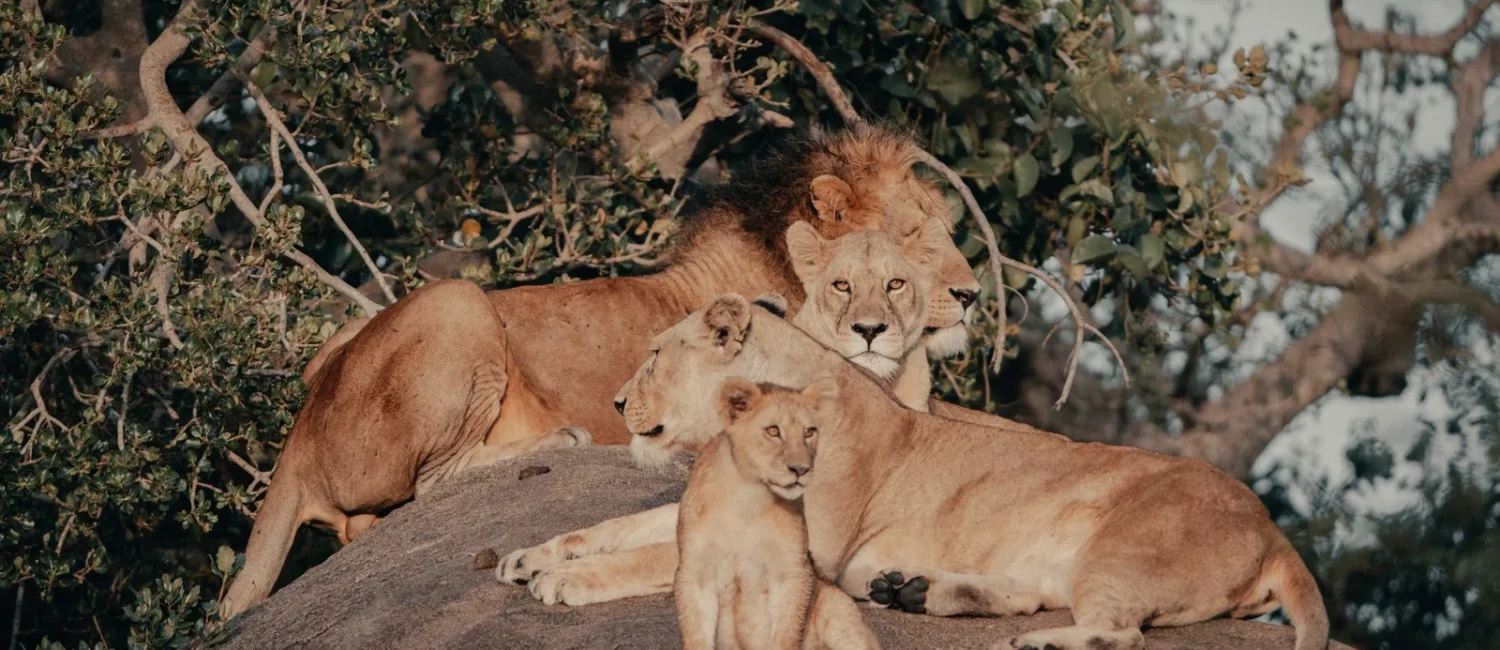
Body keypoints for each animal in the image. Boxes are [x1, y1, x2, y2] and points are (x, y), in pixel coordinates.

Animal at [219, 125, 983, 618]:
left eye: (943, 230)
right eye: (912, 238)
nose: (973, 294)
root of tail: (301, 429)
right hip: (458, 300)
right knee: (418, 488)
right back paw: (559, 439)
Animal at [676, 377, 879, 650]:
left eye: (809, 431)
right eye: (773, 431)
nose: (801, 469)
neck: (749, 499)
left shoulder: (793, 572)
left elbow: (786, 632)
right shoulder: (696, 571)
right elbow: (697, 634)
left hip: (839, 610)